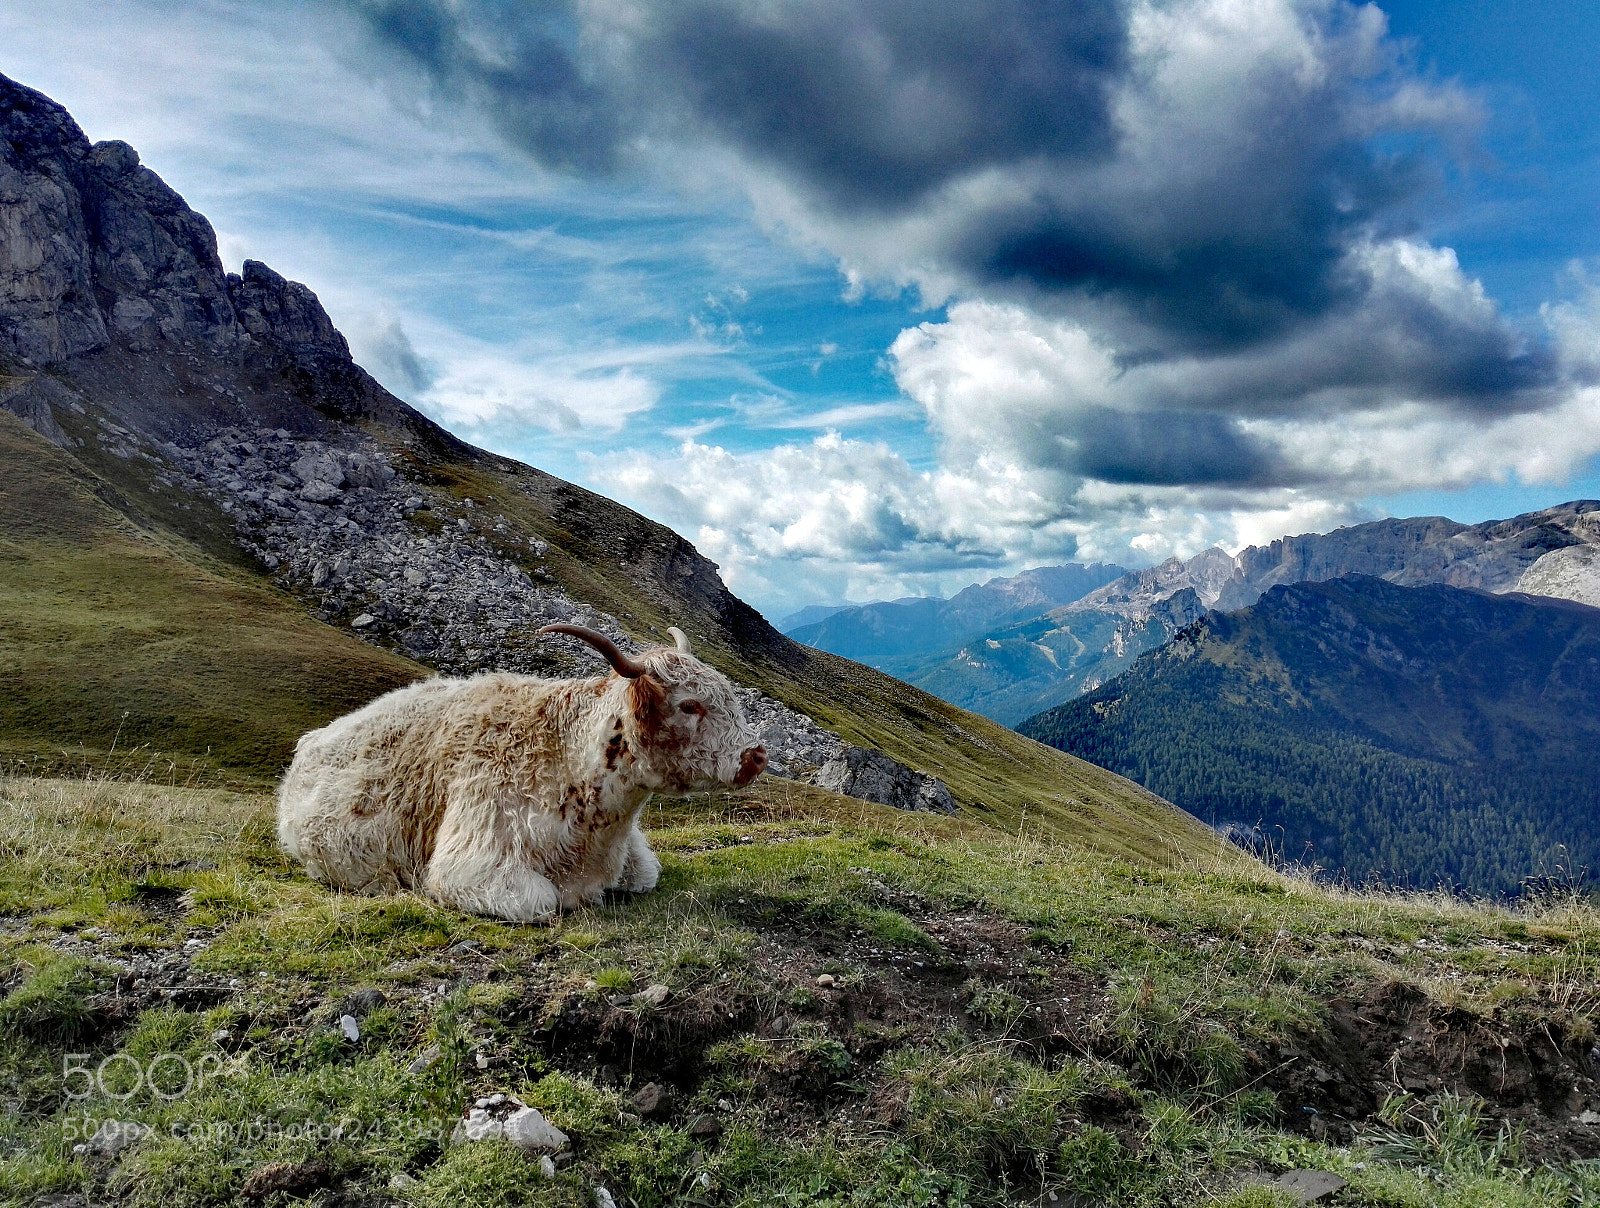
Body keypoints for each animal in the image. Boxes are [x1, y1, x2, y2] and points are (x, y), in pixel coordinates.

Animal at [276, 624, 768, 922]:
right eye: (689, 705)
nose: (756, 755)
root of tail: (311, 740)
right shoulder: (471, 861)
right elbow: (542, 900)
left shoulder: (635, 857)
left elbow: (644, 876)